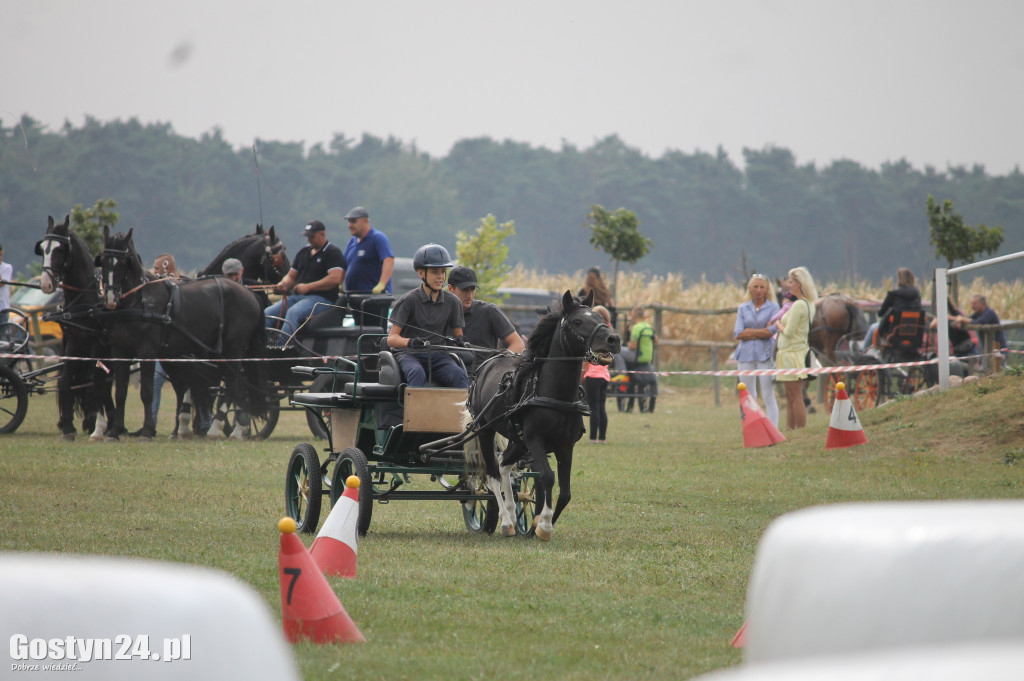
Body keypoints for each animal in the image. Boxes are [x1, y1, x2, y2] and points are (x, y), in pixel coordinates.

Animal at [35, 215, 115, 444]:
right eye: (43, 249)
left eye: (60, 250)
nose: (46, 284)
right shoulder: (74, 344)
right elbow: (65, 382)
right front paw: (68, 426)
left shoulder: (96, 345)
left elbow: (93, 384)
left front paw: (96, 427)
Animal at [96, 225, 268, 438]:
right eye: (103, 260)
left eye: (123, 262)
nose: (110, 298)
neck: (139, 301)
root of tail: (250, 293)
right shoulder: (120, 350)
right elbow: (121, 391)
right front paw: (115, 431)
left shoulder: (147, 351)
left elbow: (146, 392)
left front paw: (147, 430)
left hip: (232, 349)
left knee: (233, 383)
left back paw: (218, 428)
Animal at [466, 288, 622, 540]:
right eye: (577, 321)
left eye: (600, 318)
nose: (613, 340)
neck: (554, 395)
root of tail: (486, 364)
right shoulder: (535, 440)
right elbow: (548, 476)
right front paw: (545, 524)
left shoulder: (565, 446)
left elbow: (566, 492)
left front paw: (540, 524)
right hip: (486, 432)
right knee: (493, 474)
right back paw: (506, 520)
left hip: (517, 441)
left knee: (504, 464)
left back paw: (513, 513)